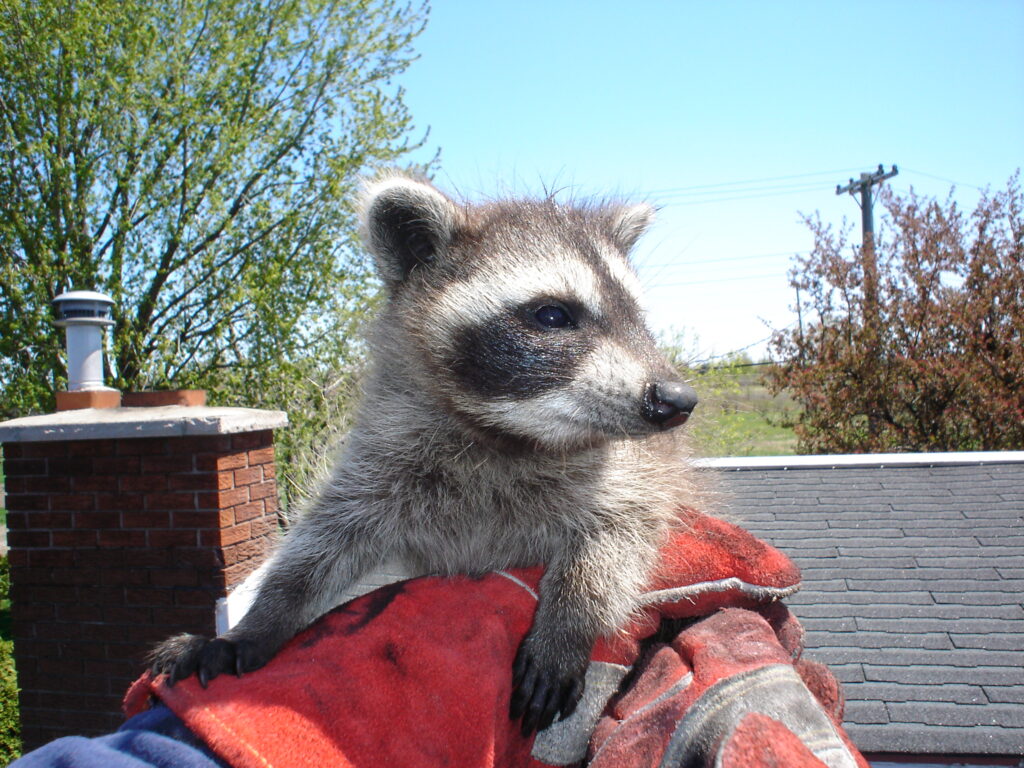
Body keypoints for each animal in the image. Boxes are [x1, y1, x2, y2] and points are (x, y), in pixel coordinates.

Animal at [149, 171, 696, 737]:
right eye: (553, 314)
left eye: (638, 317)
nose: (677, 400)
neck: (508, 435)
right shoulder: (384, 457)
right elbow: (323, 543)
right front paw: (263, 618)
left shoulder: (631, 471)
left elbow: (623, 532)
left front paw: (570, 617)